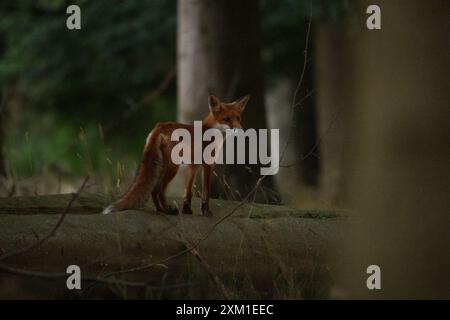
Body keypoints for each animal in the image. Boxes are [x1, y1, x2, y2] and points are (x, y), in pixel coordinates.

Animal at [101, 94, 250, 216]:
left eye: (238, 119)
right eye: (227, 119)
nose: (240, 130)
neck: (210, 132)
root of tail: (159, 126)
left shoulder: (193, 166)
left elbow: (187, 192)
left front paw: (187, 211)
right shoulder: (208, 165)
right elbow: (206, 193)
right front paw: (206, 212)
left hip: (162, 165)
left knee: (154, 189)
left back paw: (161, 210)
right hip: (173, 167)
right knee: (159, 188)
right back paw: (167, 210)